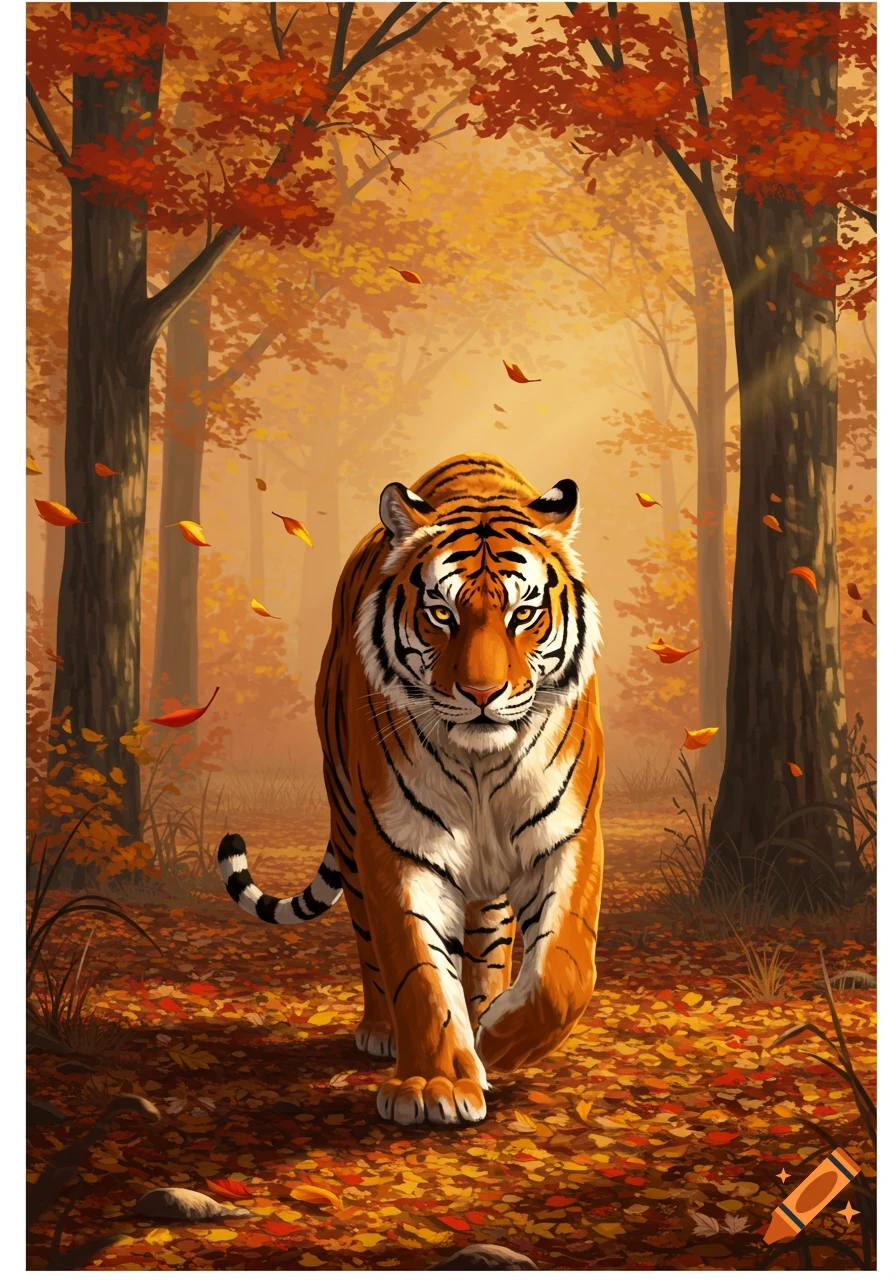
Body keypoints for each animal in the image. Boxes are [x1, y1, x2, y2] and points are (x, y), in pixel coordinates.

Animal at [217, 454, 605, 1127]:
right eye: (442, 613)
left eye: (523, 614)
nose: (482, 694)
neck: (480, 764)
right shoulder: (397, 844)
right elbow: (417, 968)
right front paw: (435, 1085)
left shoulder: (569, 833)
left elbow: (562, 970)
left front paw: (500, 1040)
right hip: (350, 825)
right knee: (370, 943)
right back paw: (384, 1032)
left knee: (489, 942)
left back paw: (483, 1015)